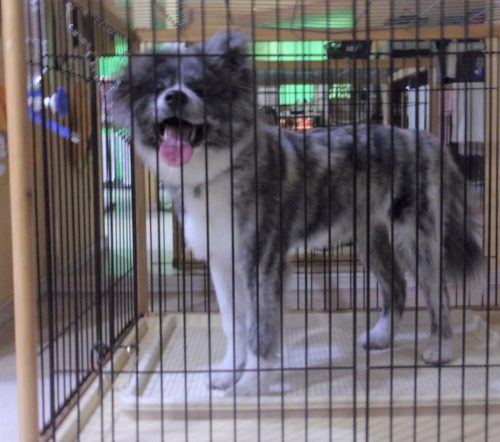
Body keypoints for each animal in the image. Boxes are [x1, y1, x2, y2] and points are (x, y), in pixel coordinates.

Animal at [110, 30, 486, 395]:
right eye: (158, 88)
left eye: (200, 88)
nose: (175, 97)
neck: (219, 170)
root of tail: (425, 139)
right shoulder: (222, 261)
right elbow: (234, 324)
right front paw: (228, 372)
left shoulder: (262, 261)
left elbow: (259, 328)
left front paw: (251, 384)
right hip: (371, 238)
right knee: (396, 286)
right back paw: (381, 337)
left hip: (416, 237)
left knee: (438, 292)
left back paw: (441, 348)